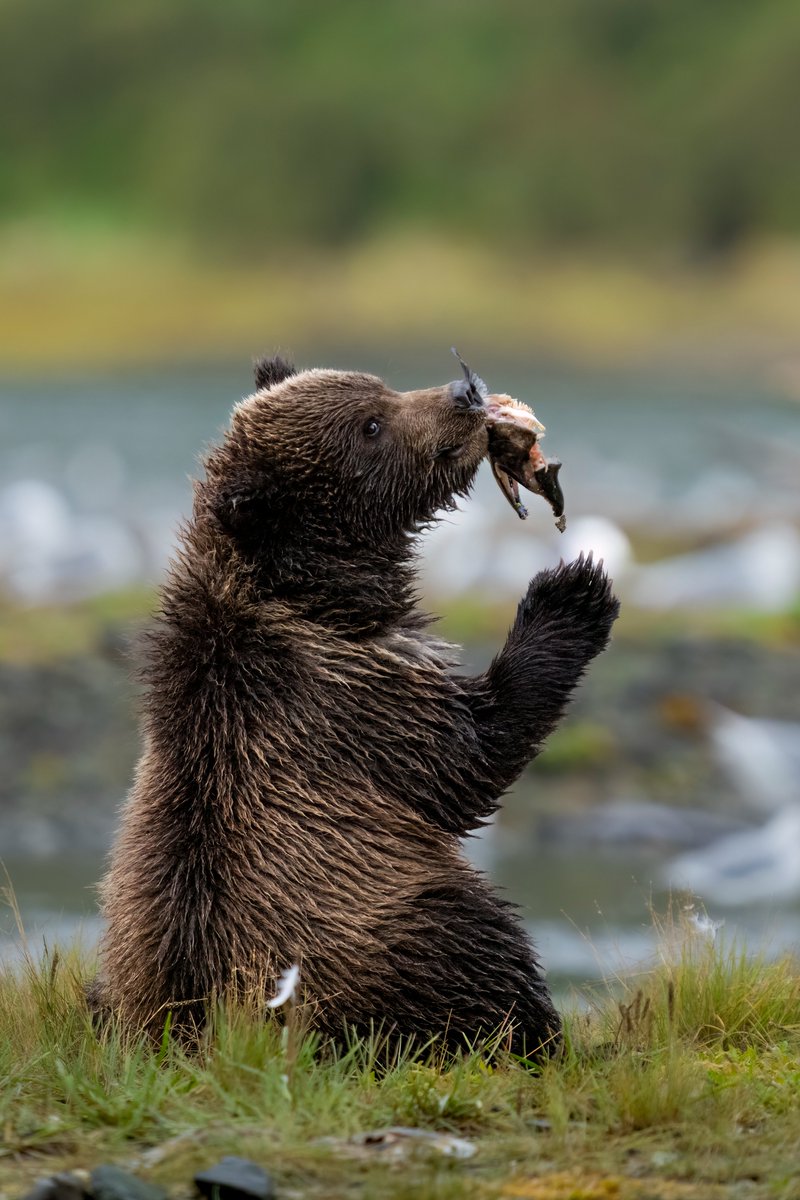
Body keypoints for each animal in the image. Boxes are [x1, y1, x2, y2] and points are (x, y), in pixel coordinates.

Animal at [93, 355, 619, 1057]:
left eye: (380, 386)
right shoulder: (343, 699)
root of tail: (191, 1029)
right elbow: (469, 756)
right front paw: (572, 590)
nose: (466, 392)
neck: (324, 597)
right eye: (370, 426)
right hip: (391, 925)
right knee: (482, 955)